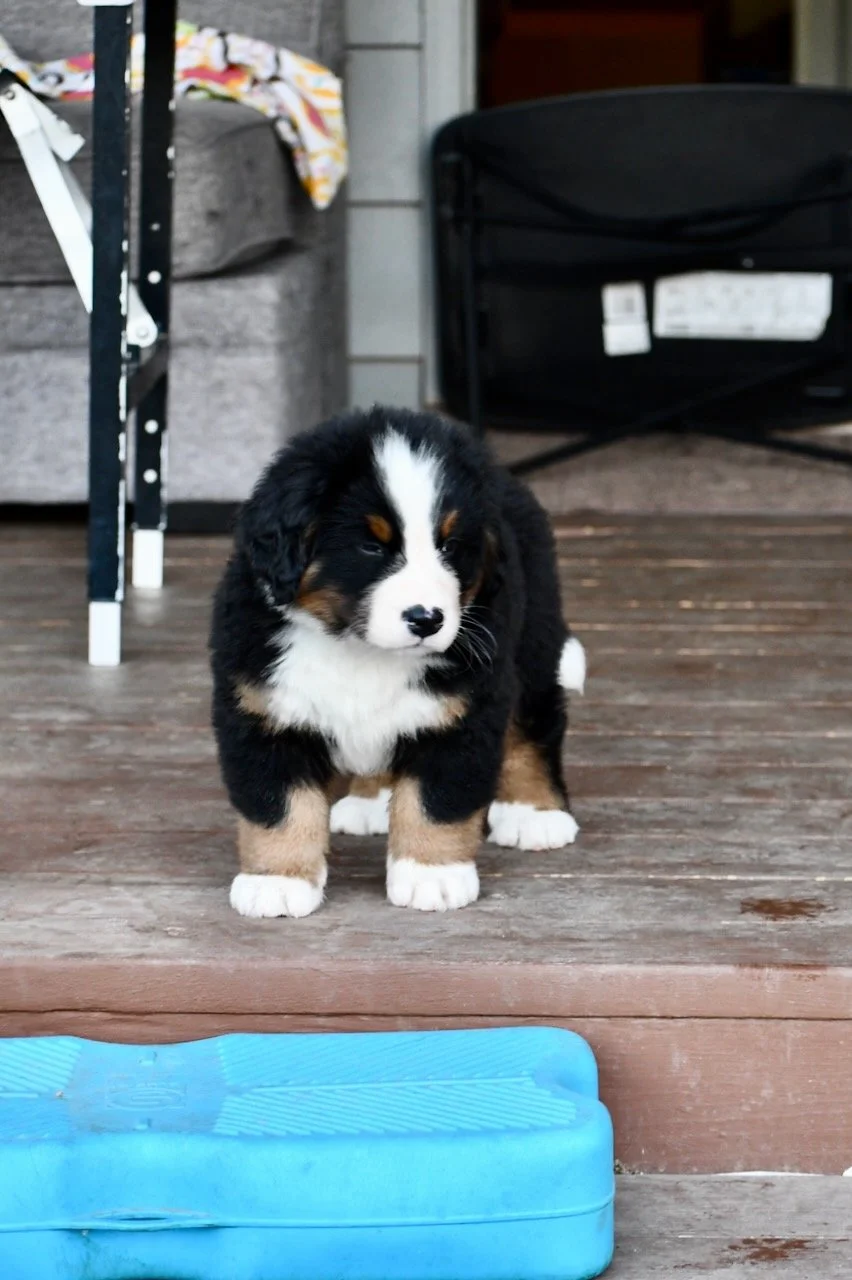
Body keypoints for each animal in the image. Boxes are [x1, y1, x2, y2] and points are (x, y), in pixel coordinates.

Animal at [210, 406, 585, 917]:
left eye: (450, 546)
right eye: (372, 546)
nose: (427, 619)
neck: (359, 649)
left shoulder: (463, 712)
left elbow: (434, 800)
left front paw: (433, 874)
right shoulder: (262, 712)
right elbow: (279, 805)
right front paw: (277, 880)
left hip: (533, 641)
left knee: (535, 724)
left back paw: (535, 812)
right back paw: (372, 800)